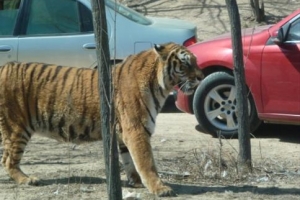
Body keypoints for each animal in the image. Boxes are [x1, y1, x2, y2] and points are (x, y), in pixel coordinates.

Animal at [0, 42, 204, 197]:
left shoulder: (124, 134)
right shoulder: (136, 129)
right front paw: (160, 188)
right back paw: (27, 179)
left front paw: (135, 182)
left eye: (196, 61)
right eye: (186, 64)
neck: (159, 85)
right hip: (16, 127)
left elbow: (130, 161)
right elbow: (146, 162)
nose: (201, 77)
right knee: (9, 159)